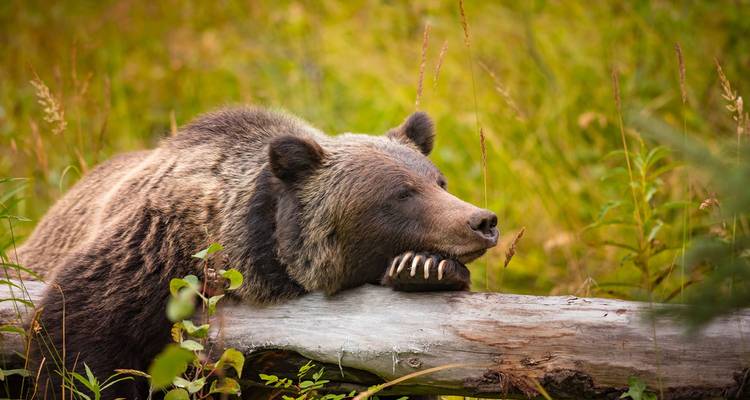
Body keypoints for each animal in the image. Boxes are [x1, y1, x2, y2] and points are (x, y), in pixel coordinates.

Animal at [18, 107, 499, 399]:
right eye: (401, 194)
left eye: (438, 181)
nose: (482, 221)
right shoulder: (152, 250)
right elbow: (78, 338)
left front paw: (424, 268)